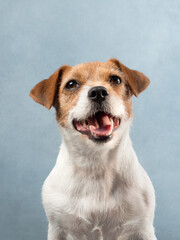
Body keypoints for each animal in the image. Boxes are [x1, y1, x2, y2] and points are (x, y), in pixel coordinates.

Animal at [30, 58, 157, 240]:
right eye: (71, 84)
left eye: (116, 79)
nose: (98, 92)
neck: (96, 164)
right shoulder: (58, 228)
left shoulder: (141, 228)